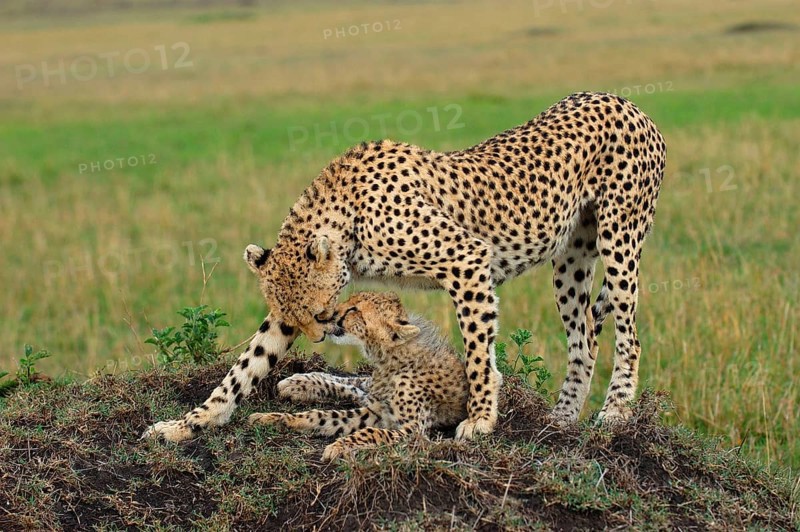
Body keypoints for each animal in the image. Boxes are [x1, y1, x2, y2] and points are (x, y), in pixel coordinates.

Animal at [142, 91, 666, 443]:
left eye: (320, 313)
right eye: (298, 320)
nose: (321, 336)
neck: (347, 218)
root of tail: (624, 101)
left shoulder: (467, 258)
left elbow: (478, 349)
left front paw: (480, 417)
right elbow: (244, 368)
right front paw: (186, 424)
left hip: (620, 239)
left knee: (628, 334)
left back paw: (616, 410)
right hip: (571, 258)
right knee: (584, 338)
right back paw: (562, 417)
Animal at [248, 291, 469, 460]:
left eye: (354, 310)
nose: (329, 314)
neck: (391, 358)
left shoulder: (412, 429)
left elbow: (372, 432)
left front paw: (338, 446)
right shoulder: (376, 412)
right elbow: (323, 415)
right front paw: (274, 417)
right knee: (354, 385)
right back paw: (297, 383)